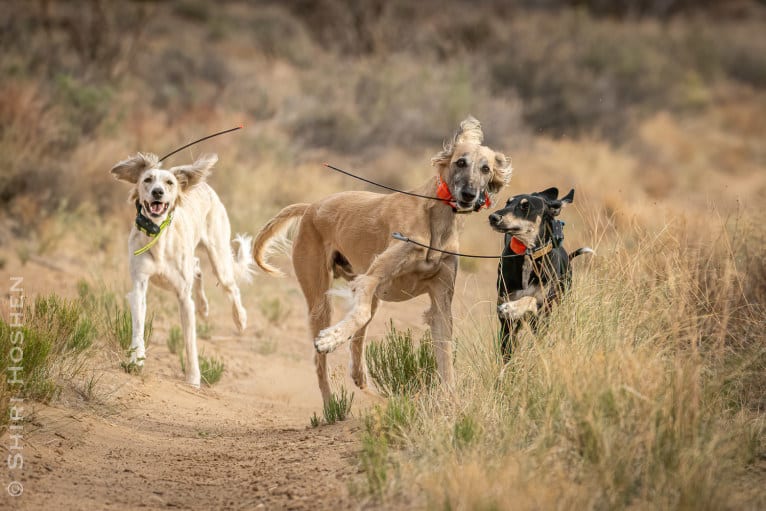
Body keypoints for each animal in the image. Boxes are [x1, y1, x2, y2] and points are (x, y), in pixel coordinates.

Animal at [111, 152, 255, 388]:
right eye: (147, 179)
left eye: (169, 182)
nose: (157, 192)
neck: (159, 237)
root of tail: (204, 185)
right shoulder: (139, 286)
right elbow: (138, 326)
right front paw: (136, 359)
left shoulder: (184, 298)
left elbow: (190, 342)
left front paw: (193, 379)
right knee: (196, 266)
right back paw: (204, 308)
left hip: (219, 258)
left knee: (231, 287)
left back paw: (240, 319)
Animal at [255, 117, 512, 404]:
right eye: (460, 162)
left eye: (486, 168)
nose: (468, 194)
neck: (437, 219)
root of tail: (311, 206)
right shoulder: (371, 278)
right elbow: (358, 315)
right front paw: (330, 339)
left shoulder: (440, 302)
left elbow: (445, 357)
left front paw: (451, 402)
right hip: (320, 300)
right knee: (321, 360)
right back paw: (331, 404)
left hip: (371, 294)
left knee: (358, 339)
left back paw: (360, 377)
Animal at [492, 188, 592, 360]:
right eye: (507, 202)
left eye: (525, 206)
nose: (493, 217)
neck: (527, 254)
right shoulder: (506, 319)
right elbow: (507, 349)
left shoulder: (543, 309)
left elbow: (530, 299)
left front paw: (512, 308)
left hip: (564, 299)